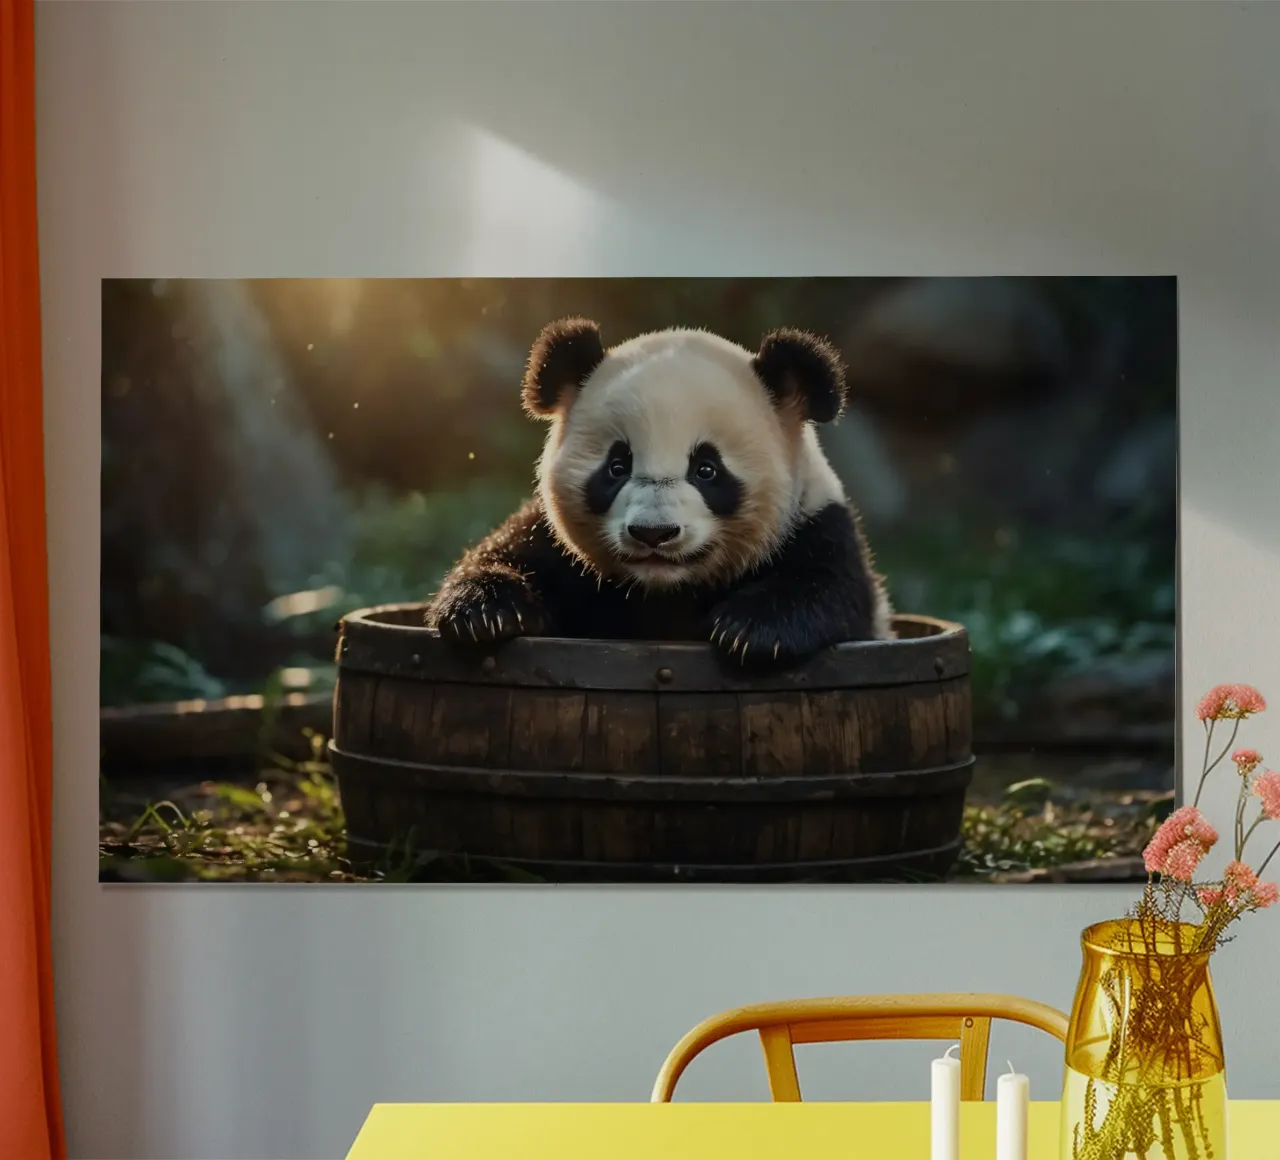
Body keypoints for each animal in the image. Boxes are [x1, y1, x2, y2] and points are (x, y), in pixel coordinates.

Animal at [425, 318, 893, 672]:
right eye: (617, 467)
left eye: (707, 470)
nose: (654, 533)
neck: (667, 591)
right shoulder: (555, 545)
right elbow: (506, 552)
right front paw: (484, 612)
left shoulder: (817, 525)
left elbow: (831, 589)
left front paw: (752, 630)